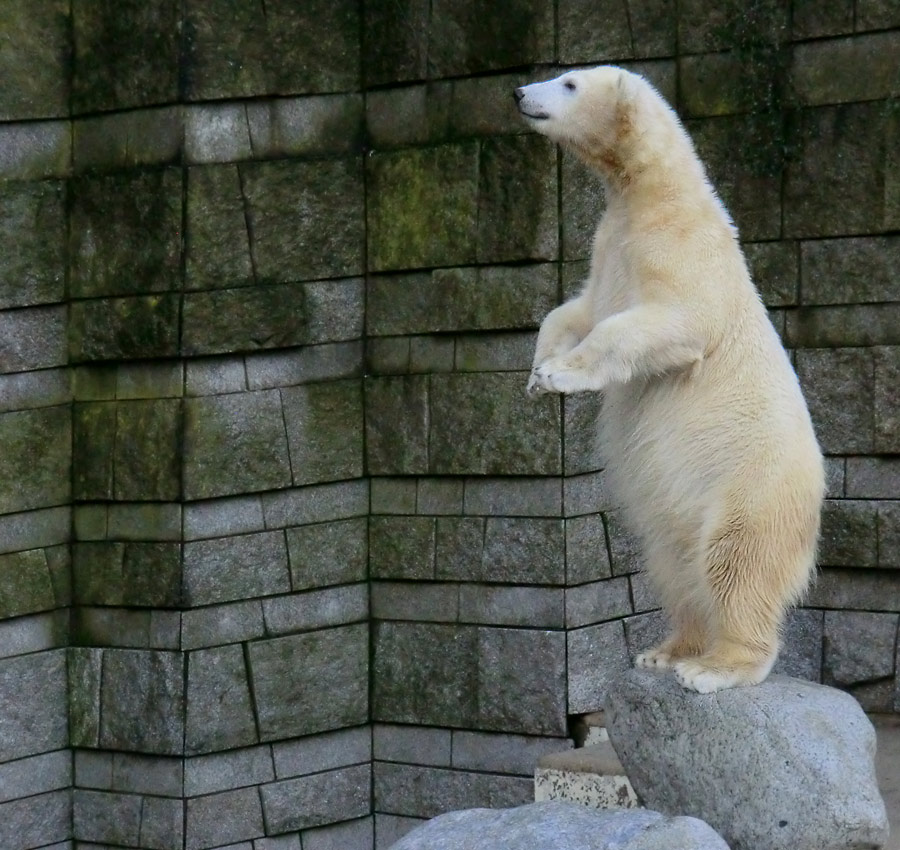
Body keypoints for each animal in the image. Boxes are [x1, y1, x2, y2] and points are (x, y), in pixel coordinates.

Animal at [516, 64, 828, 688]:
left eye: (568, 83)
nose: (518, 93)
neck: (649, 194)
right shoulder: (610, 249)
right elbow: (577, 310)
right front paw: (538, 372)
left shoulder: (683, 253)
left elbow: (662, 324)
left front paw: (562, 375)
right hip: (676, 514)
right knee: (672, 564)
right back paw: (666, 650)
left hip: (752, 490)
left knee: (736, 564)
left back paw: (716, 668)